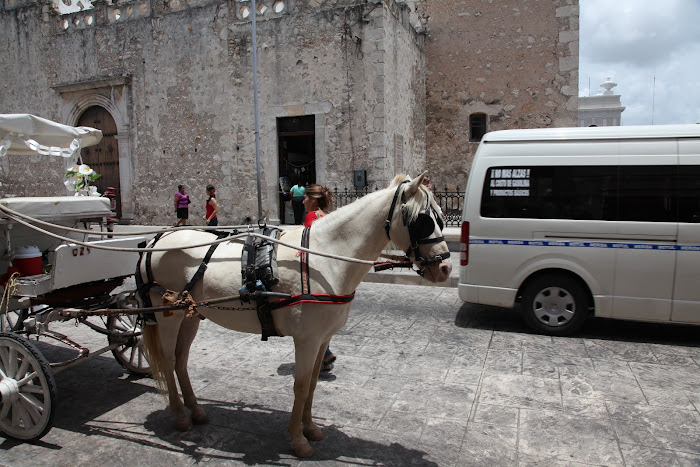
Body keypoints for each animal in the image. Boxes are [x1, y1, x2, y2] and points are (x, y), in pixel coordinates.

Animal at [141, 174, 454, 458]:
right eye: (423, 220)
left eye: (441, 218)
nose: (445, 268)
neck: (325, 257)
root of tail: (157, 238)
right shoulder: (307, 339)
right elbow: (301, 386)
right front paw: (297, 439)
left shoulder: (322, 338)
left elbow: (313, 384)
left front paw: (310, 428)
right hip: (168, 315)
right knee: (168, 361)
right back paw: (180, 416)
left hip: (190, 316)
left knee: (181, 360)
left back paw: (195, 410)